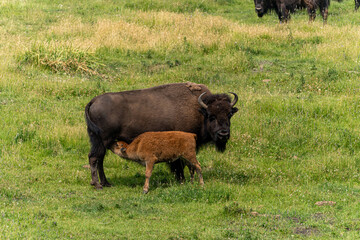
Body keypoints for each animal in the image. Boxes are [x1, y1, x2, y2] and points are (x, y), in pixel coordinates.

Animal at [84, 82, 239, 189]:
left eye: (229, 114)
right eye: (212, 116)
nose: (224, 133)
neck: (199, 110)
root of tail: (93, 101)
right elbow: (179, 164)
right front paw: (181, 180)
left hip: (99, 141)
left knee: (99, 159)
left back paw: (106, 183)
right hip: (102, 141)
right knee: (94, 158)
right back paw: (98, 185)